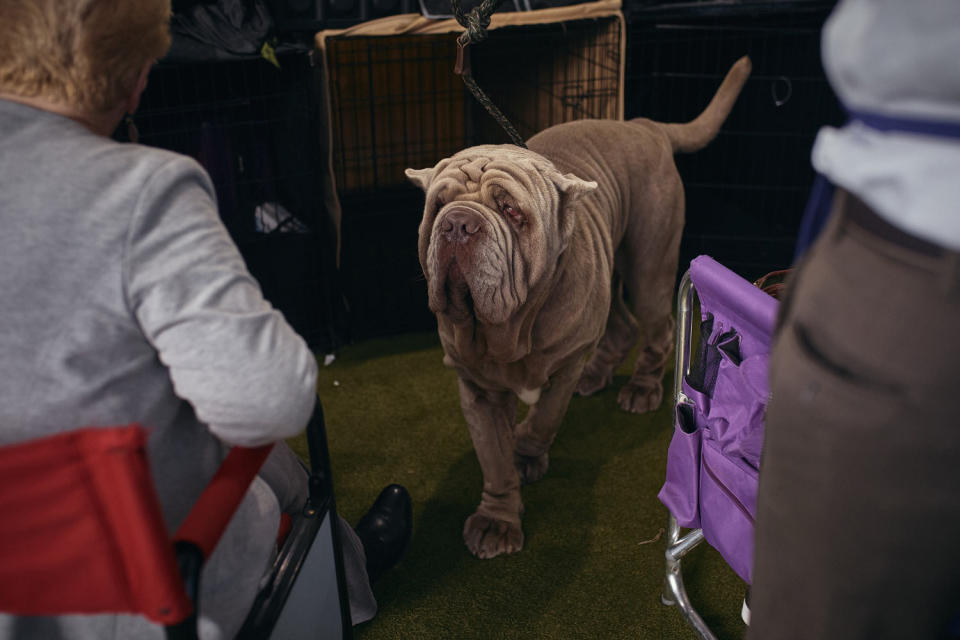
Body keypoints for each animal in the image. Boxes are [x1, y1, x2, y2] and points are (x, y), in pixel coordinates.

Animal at [404, 55, 752, 556]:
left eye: (511, 211)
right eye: (438, 206)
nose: (457, 224)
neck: (512, 327)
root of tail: (644, 126)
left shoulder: (564, 365)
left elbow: (544, 419)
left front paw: (526, 450)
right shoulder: (477, 387)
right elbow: (493, 459)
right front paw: (497, 518)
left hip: (648, 268)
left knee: (657, 326)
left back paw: (641, 389)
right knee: (622, 326)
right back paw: (598, 375)